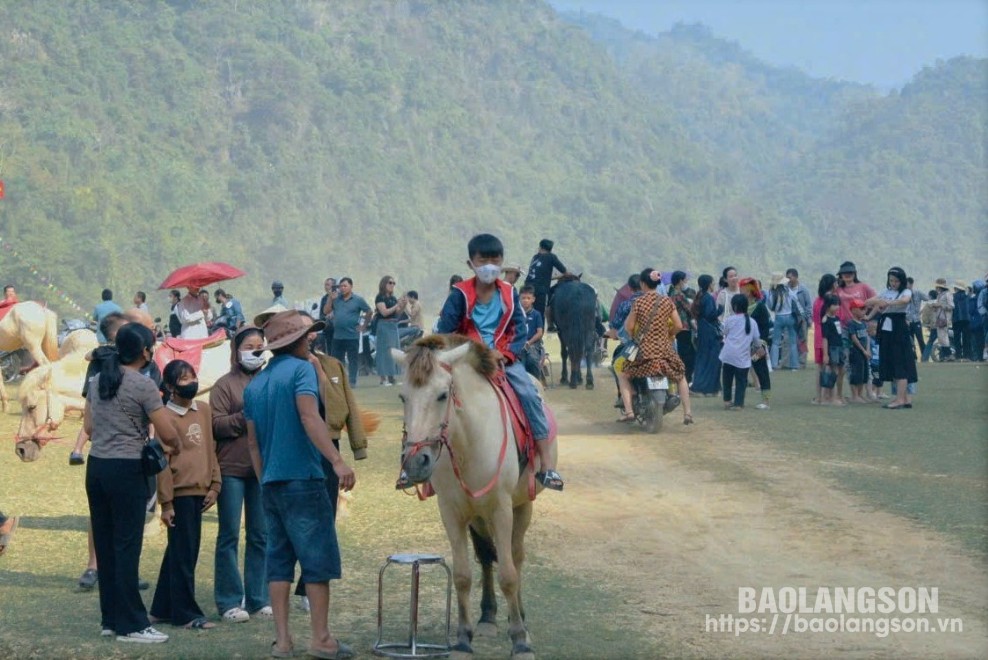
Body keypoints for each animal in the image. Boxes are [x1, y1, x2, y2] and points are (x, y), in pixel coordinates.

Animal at [392, 338, 556, 656]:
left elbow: (508, 575)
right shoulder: (451, 511)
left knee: (515, 556)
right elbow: (462, 575)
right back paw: (488, 617)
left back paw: (519, 617)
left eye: (443, 394)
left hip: (521, 505)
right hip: (477, 516)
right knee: (486, 556)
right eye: (403, 397)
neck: (468, 442)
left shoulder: (502, 509)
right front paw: (463, 639)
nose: (416, 462)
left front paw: (520, 640)